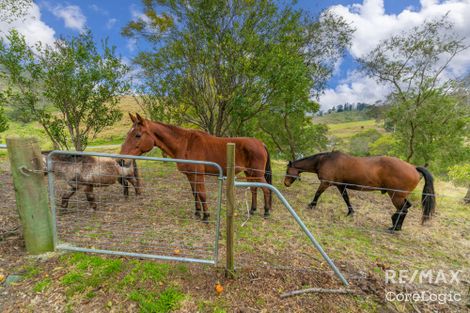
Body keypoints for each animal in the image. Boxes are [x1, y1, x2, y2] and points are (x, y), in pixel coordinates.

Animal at [120, 113, 272, 221]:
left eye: (138, 135)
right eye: (128, 134)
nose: (121, 160)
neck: (186, 143)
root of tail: (261, 143)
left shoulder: (198, 175)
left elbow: (202, 194)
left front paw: (206, 216)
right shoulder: (190, 175)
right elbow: (195, 193)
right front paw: (198, 212)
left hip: (257, 174)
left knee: (266, 189)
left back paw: (266, 212)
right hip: (250, 173)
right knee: (254, 189)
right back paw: (252, 210)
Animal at [282, 150, 436, 230]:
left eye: (287, 170)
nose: (286, 183)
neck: (325, 160)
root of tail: (414, 168)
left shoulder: (326, 183)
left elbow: (317, 193)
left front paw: (311, 205)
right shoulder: (341, 186)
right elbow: (346, 198)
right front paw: (350, 212)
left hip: (395, 196)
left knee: (403, 209)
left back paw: (394, 227)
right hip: (399, 196)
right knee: (405, 207)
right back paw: (395, 225)